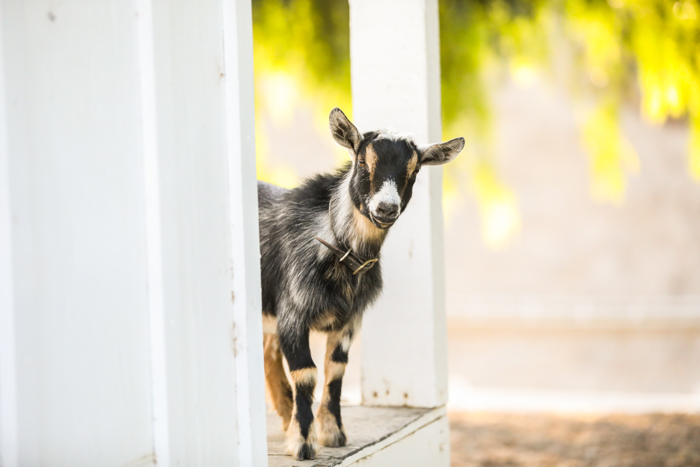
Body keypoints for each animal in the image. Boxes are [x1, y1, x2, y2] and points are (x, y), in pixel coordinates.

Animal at [258, 108, 464, 460]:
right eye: (363, 161)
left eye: (414, 170)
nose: (386, 208)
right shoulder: (292, 313)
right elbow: (306, 373)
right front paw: (303, 443)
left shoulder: (350, 320)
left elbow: (336, 370)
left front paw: (332, 433)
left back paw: (285, 418)